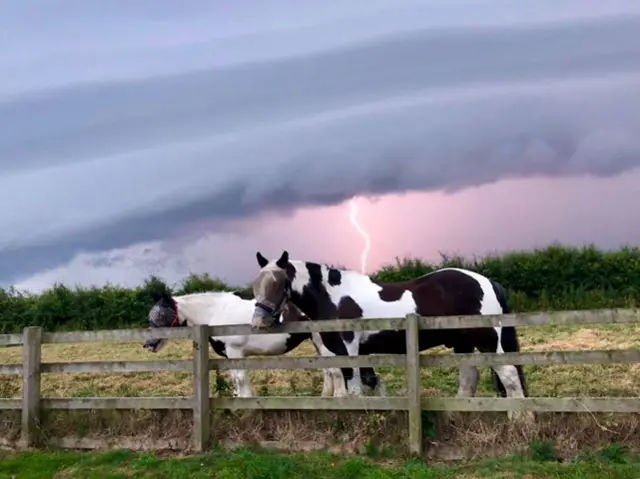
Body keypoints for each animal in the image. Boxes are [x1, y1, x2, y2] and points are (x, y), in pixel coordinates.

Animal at [139, 290, 340, 400]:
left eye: (160, 315)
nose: (148, 344)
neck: (215, 313)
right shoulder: (230, 356)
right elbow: (236, 379)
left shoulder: (235, 352)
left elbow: (241, 379)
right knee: (328, 371)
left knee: (336, 370)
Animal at [252, 251, 532, 420]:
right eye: (257, 284)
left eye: (280, 282)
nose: (258, 322)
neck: (334, 297)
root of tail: (486, 282)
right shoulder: (353, 352)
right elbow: (368, 383)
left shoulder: (349, 350)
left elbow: (354, 387)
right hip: (463, 343)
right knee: (470, 376)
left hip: (487, 340)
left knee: (508, 374)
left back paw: (520, 418)